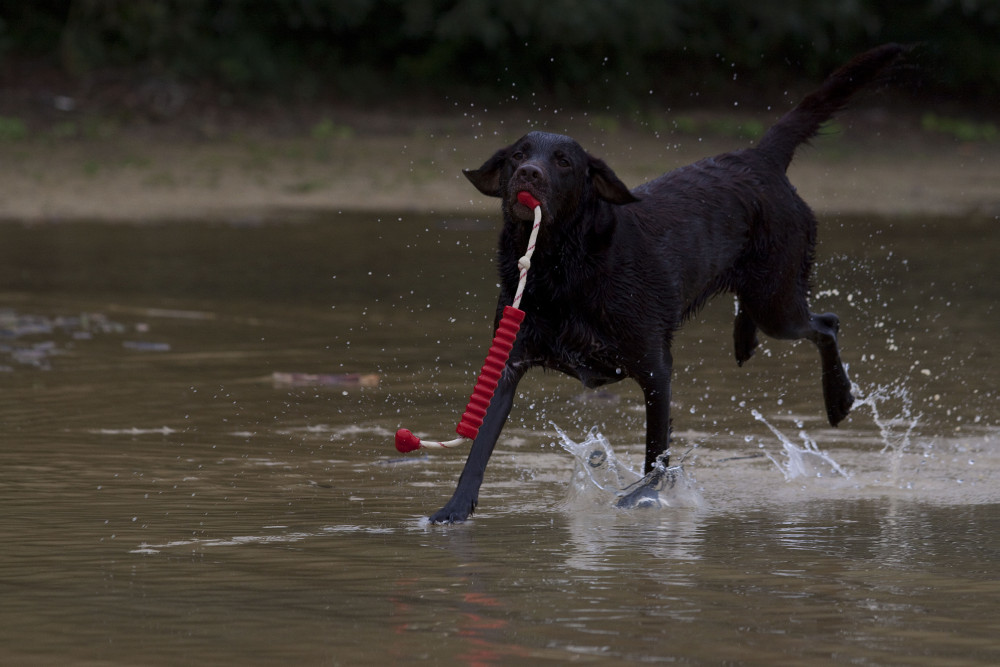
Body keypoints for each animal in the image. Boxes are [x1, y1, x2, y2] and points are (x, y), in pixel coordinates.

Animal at [428, 44, 908, 524]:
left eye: (563, 162)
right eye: (517, 155)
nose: (528, 174)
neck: (562, 267)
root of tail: (760, 157)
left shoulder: (655, 367)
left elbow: (655, 453)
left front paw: (641, 499)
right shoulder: (509, 361)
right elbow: (480, 446)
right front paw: (455, 508)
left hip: (779, 301)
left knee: (827, 323)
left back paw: (838, 398)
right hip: (767, 294)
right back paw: (746, 341)